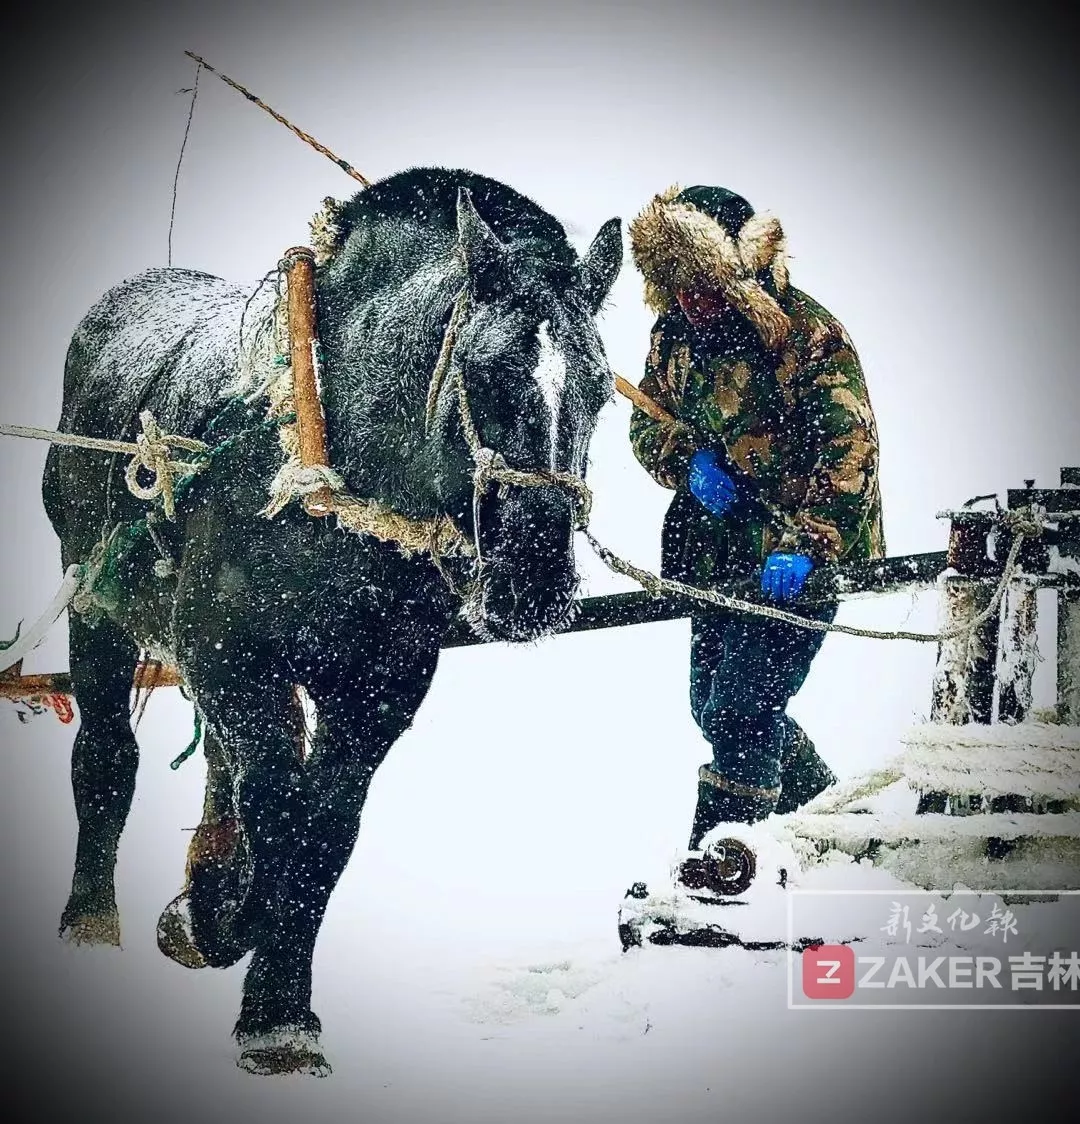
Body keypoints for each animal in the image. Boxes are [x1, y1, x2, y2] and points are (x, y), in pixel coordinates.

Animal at [42, 164, 620, 1070]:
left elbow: (323, 830)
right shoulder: (229, 652)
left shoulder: (380, 687)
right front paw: (224, 926)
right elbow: (279, 811)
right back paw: (92, 922)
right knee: (106, 758)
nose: (535, 582)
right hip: (95, 607)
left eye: (599, 389)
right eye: (487, 372)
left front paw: (273, 995)